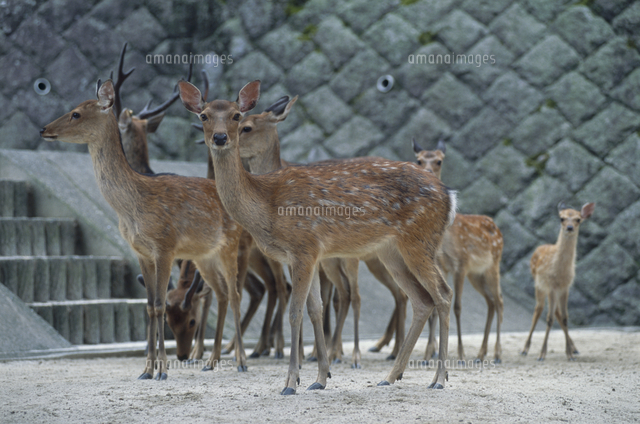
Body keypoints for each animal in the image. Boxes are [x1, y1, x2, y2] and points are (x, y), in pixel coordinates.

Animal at [40, 79, 250, 380]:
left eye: (76, 113)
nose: (43, 129)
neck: (131, 208)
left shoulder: (165, 246)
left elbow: (161, 305)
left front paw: (162, 370)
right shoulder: (141, 252)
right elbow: (150, 307)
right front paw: (146, 370)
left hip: (231, 246)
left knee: (235, 294)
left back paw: (242, 361)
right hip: (205, 256)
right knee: (220, 293)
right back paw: (210, 362)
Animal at [179, 79, 456, 395]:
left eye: (239, 118)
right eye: (204, 116)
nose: (220, 137)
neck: (267, 204)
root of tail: (450, 196)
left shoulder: (304, 247)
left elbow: (295, 311)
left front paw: (290, 383)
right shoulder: (302, 255)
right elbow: (316, 308)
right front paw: (319, 378)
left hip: (419, 240)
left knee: (443, 293)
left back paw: (438, 378)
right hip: (391, 251)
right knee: (421, 299)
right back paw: (390, 376)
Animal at [521, 201, 595, 361]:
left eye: (578, 219)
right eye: (562, 218)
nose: (569, 227)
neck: (559, 272)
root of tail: (538, 248)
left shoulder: (565, 287)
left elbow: (565, 317)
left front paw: (569, 355)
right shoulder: (550, 285)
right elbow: (549, 319)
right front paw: (542, 355)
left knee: (556, 312)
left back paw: (574, 349)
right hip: (538, 285)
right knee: (538, 309)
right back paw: (524, 349)